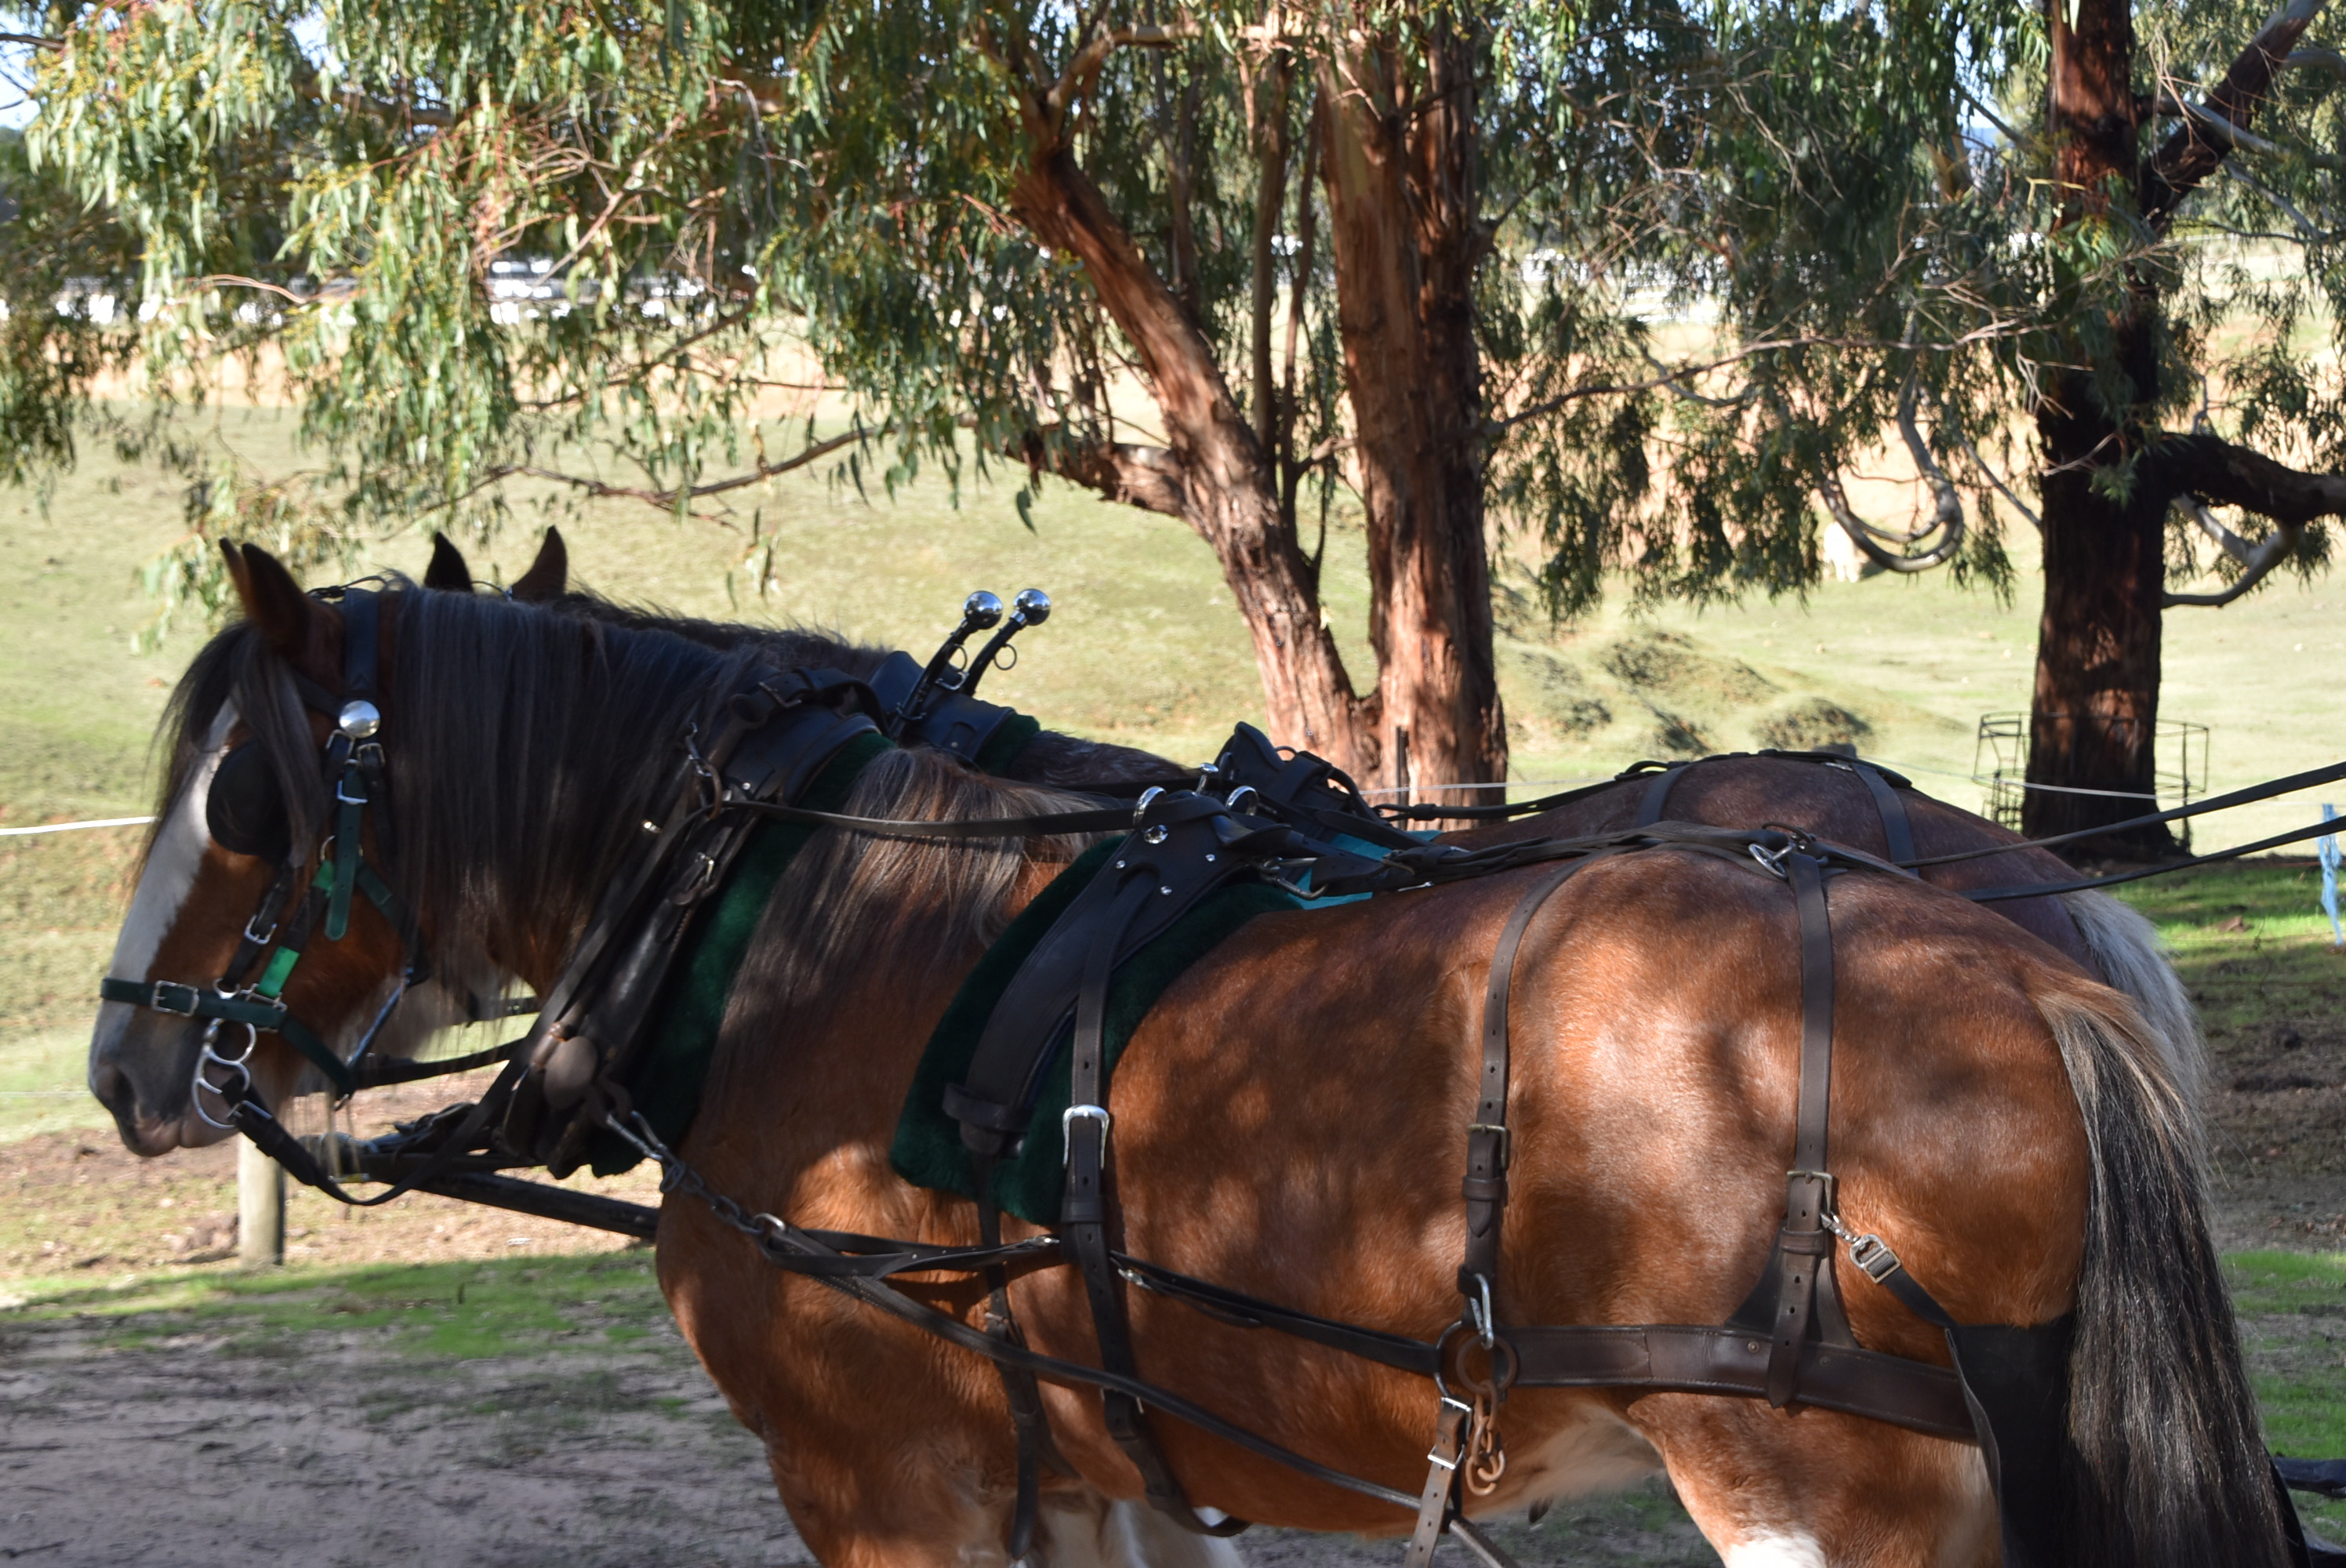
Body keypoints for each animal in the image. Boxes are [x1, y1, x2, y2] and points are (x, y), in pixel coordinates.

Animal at [88, 545, 2286, 1568]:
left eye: (247, 799)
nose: (119, 1057)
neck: (796, 915)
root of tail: (2021, 972)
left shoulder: (877, 1477)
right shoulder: (1080, 1467)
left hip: (1819, 1492)